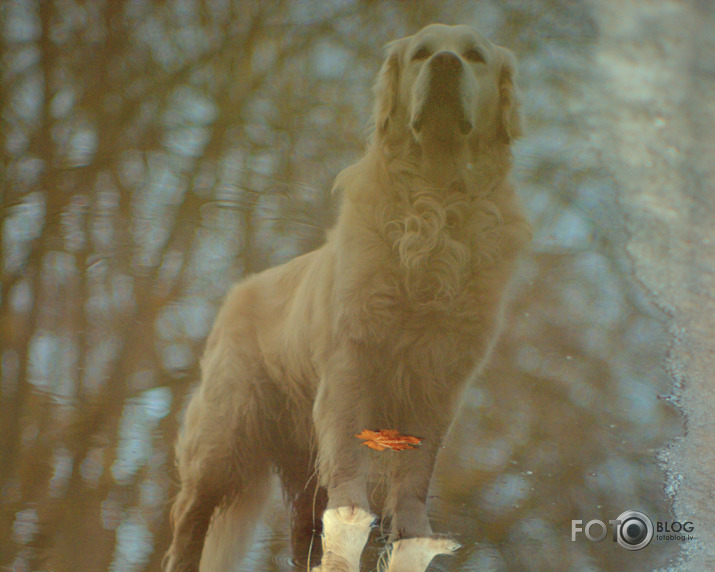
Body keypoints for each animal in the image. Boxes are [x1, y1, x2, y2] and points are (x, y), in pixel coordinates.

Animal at [165, 23, 528, 572]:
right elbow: (350, 450)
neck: (436, 198)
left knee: (300, 527)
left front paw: (413, 530)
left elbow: (420, 467)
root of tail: (240, 289)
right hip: (224, 435)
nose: (445, 63)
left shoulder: (442, 378)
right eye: (422, 53)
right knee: (190, 516)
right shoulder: (352, 358)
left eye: (473, 56)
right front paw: (355, 511)